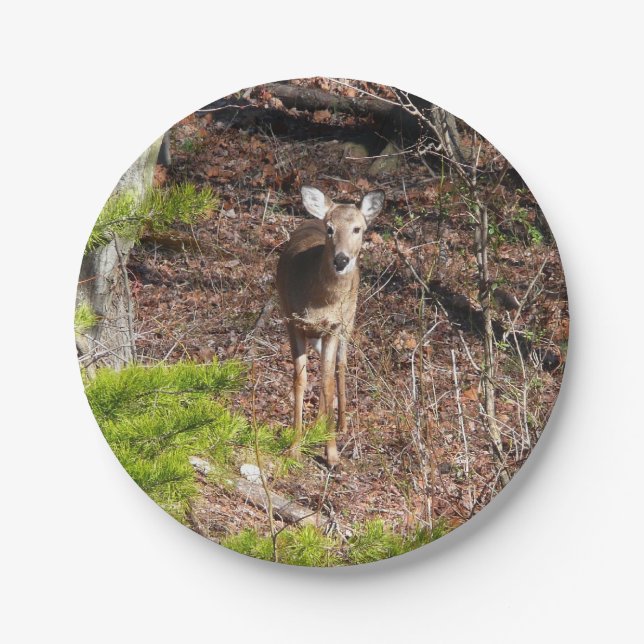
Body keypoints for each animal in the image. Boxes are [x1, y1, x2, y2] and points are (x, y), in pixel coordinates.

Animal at [276, 186, 385, 466]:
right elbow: (300, 380)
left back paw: (341, 424)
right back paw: (317, 425)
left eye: (358, 229)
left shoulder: (334, 327)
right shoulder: (293, 321)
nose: (341, 260)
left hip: (349, 320)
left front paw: (332, 454)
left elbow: (326, 382)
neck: (321, 302)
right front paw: (294, 447)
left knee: (340, 365)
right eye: (330, 228)